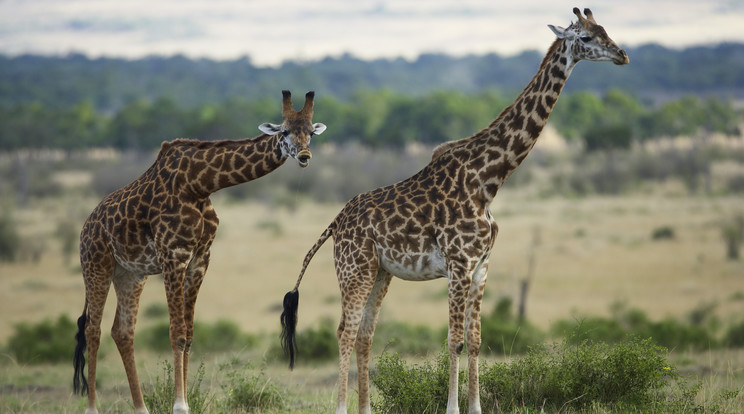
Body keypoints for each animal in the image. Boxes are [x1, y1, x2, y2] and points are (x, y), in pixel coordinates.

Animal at [72, 90, 326, 414]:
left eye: (310, 133)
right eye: (283, 132)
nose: (304, 156)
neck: (200, 185)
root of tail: (86, 226)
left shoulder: (200, 259)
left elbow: (189, 334)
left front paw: (185, 401)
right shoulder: (173, 255)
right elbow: (177, 333)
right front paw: (180, 405)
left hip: (130, 274)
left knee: (122, 330)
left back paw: (141, 408)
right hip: (96, 265)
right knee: (93, 329)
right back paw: (92, 407)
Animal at [280, 8, 628, 414]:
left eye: (604, 30)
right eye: (585, 38)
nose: (622, 55)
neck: (488, 181)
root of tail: (335, 222)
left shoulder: (481, 267)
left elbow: (475, 341)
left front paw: (475, 407)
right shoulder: (459, 265)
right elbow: (454, 341)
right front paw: (453, 407)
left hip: (380, 272)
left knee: (365, 334)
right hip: (354, 270)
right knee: (345, 332)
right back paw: (341, 407)